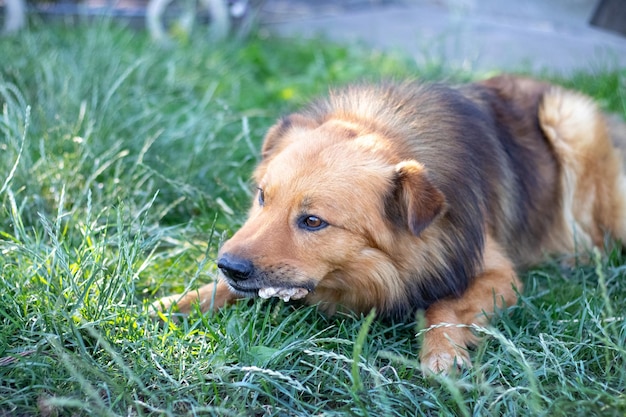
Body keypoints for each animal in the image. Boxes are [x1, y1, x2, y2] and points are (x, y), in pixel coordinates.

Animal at [154, 75, 624, 374]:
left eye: (312, 221)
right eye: (262, 197)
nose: (228, 265)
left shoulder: (497, 272)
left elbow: (443, 302)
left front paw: (442, 350)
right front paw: (183, 300)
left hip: (569, 122)